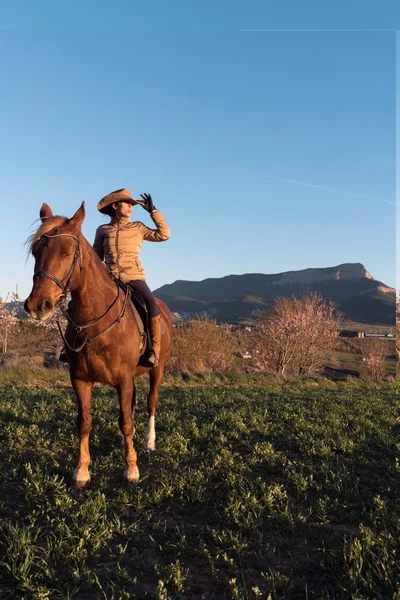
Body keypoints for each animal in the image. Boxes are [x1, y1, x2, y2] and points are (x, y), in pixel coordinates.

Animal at [23, 202, 172, 488]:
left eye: (67, 252)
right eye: (36, 252)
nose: (37, 305)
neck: (95, 323)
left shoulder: (123, 379)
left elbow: (125, 421)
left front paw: (131, 470)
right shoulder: (80, 379)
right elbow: (85, 422)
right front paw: (82, 471)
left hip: (157, 369)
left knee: (151, 401)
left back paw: (149, 441)